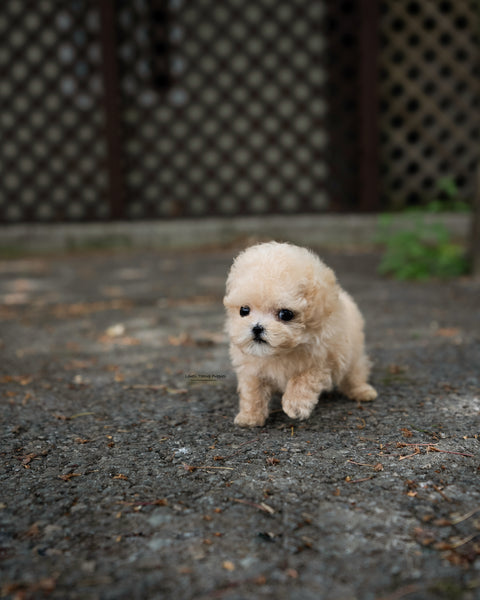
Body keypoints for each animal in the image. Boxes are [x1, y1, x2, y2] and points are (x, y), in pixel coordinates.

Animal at [223, 240, 376, 426]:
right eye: (244, 310)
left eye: (285, 314)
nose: (257, 328)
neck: (280, 353)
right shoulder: (251, 368)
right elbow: (252, 390)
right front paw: (250, 416)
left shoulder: (322, 360)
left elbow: (302, 378)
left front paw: (295, 405)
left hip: (353, 351)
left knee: (355, 372)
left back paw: (363, 391)